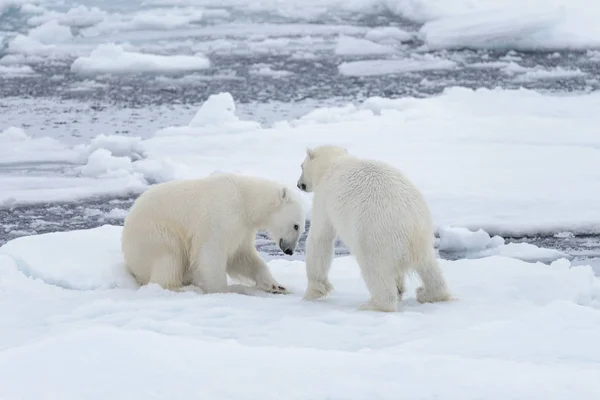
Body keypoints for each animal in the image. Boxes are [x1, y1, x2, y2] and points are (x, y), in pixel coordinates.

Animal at [122, 173, 308, 296]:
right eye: (296, 226)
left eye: (301, 228)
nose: (289, 251)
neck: (244, 199)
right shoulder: (219, 215)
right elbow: (211, 253)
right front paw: (223, 291)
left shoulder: (242, 227)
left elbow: (242, 256)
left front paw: (276, 286)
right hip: (153, 234)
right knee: (169, 256)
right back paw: (185, 287)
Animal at [296, 147, 450, 312]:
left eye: (301, 166)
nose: (299, 184)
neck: (334, 163)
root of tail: (412, 226)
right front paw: (400, 287)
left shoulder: (324, 196)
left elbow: (320, 238)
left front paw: (312, 292)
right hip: (424, 237)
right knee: (429, 267)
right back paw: (429, 294)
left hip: (375, 235)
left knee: (374, 269)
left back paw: (374, 304)